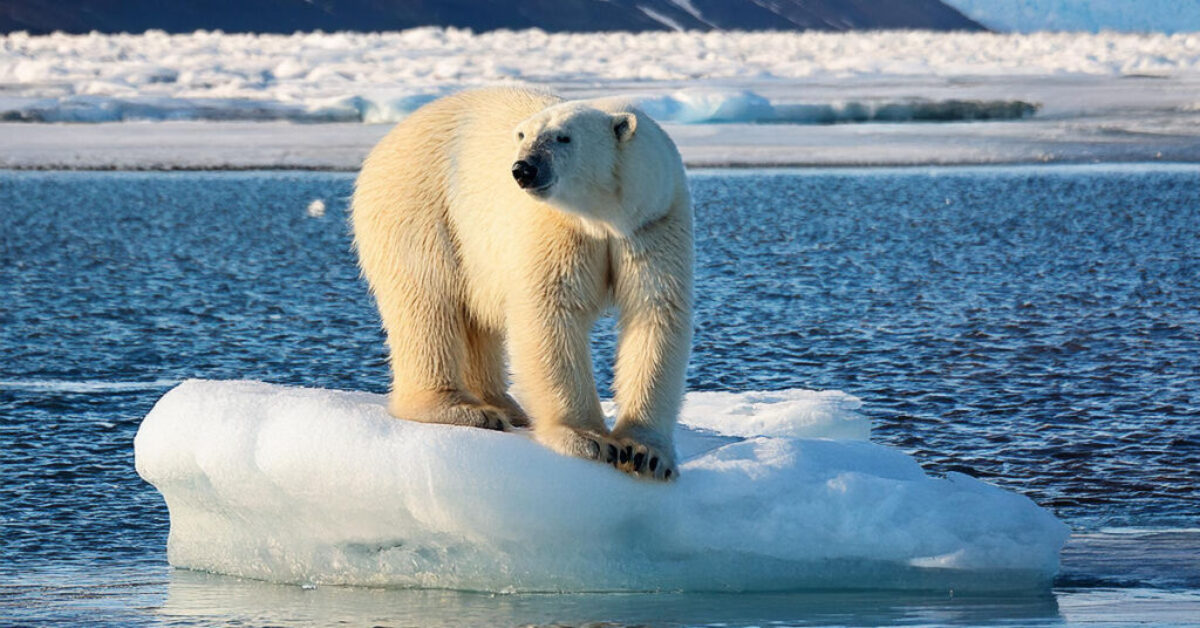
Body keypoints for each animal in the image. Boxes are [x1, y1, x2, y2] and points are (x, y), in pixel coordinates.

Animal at [350, 88, 696, 482]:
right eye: (523, 135)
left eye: (563, 137)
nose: (522, 169)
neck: (605, 220)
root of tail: (385, 141)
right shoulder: (558, 228)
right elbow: (550, 313)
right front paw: (589, 440)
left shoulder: (653, 223)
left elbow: (655, 312)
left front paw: (646, 454)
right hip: (420, 204)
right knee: (428, 299)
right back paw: (463, 409)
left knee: (474, 318)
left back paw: (504, 405)